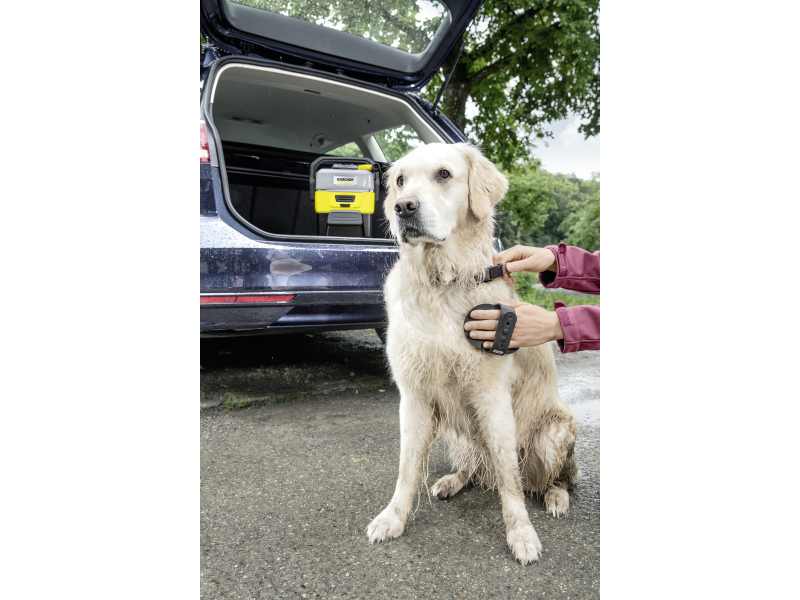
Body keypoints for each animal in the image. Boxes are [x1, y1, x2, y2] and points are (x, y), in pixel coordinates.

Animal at [365, 143, 580, 564]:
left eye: (444, 174)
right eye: (400, 181)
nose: (403, 207)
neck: (442, 281)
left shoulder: (492, 395)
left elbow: (509, 477)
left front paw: (521, 533)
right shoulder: (414, 395)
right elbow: (407, 466)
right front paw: (393, 517)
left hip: (554, 434)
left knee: (550, 478)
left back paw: (556, 497)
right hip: (458, 433)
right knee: (475, 467)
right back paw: (452, 481)